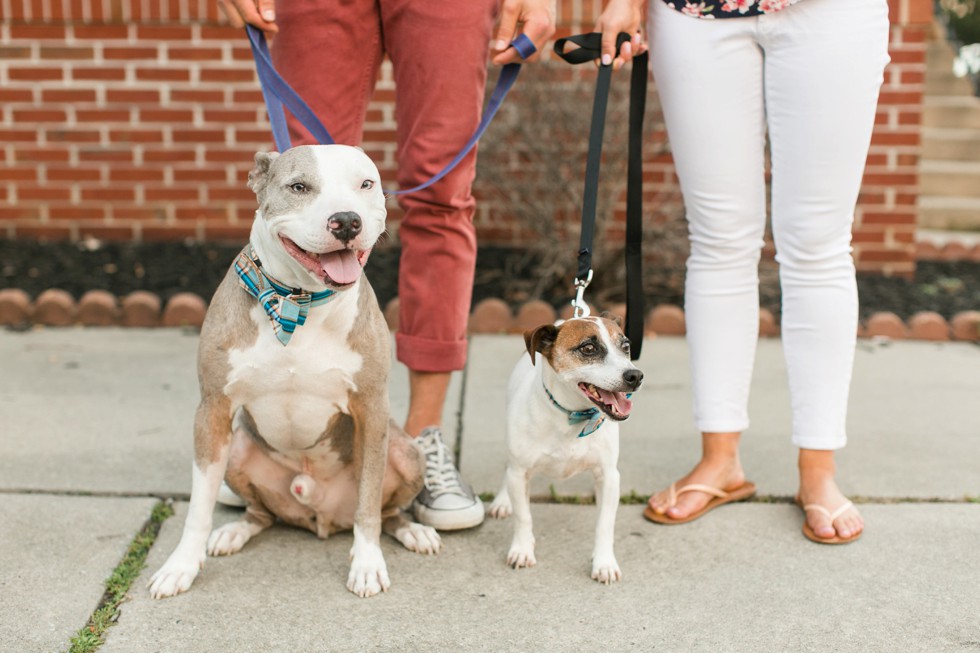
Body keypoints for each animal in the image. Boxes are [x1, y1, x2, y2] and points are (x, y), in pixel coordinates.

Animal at [149, 145, 440, 600]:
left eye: (366, 184)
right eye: (299, 187)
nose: (346, 220)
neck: (298, 302)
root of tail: (320, 514)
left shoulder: (372, 411)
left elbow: (369, 503)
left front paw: (367, 564)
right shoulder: (212, 409)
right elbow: (198, 506)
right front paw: (181, 566)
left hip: (405, 453)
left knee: (387, 509)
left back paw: (413, 531)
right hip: (237, 450)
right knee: (261, 513)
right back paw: (234, 531)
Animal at [490, 316, 644, 580]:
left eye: (625, 346)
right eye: (588, 348)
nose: (635, 376)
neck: (572, 415)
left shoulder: (609, 476)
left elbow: (605, 524)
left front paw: (604, 562)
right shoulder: (520, 473)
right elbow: (523, 517)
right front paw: (522, 549)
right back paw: (502, 500)